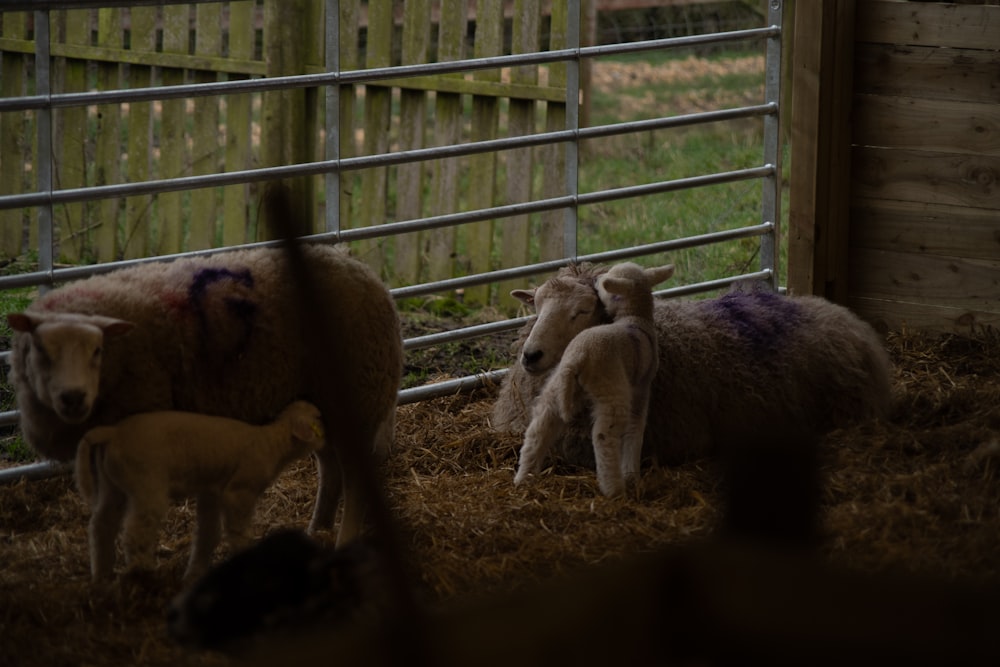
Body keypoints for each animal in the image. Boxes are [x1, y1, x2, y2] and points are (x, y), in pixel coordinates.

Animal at [4, 241, 402, 548]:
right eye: (40, 349)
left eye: (96, 350)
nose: (72, 398)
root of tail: (362, 270)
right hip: (323, 401)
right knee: (331, 468)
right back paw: (317, 528)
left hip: (358, 396)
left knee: (354, 477)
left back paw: (344, 539)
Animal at [78, 402, 328, 580]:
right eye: (318, 418)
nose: (327, 437)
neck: (272, 445)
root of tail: (112, 431)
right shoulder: (240, 490)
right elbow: (238, 531)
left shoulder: (212, 492)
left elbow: (208, 534)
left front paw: (195, 571)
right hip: (146, 484)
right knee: (136, 531)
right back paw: (143, 571)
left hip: (112, 484)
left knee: (101, 525)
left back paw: (101, 575)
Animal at [512, 260, 676, 496]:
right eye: (536, 305)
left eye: (583, 310)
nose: (531, 355)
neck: (635, 318)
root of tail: (574, 361)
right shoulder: (641, 388)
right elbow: (635, 429)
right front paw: (631, 473)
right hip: (612, 394)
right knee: (603, 436)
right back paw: (614, 490)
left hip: (555, 390)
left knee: (539, 427)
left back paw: (524, 478)